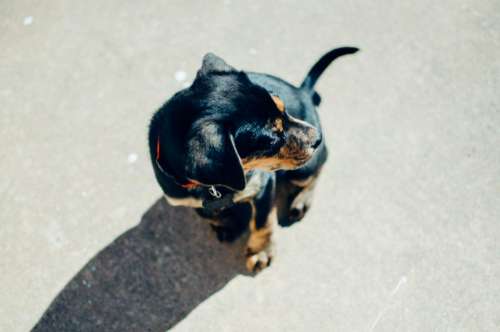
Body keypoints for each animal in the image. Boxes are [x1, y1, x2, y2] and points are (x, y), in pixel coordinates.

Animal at [146, 47, 358, 272]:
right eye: (272, 138)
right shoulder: (187, 200)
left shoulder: (263, 186)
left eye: (284, 108)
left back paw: (302, 200)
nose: (318, 138)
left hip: (302, 171)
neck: (215, 187)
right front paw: (226, 225)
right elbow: (210, 214)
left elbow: (262, 223)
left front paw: (260, 252)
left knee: (318, 169)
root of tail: (303, 92)